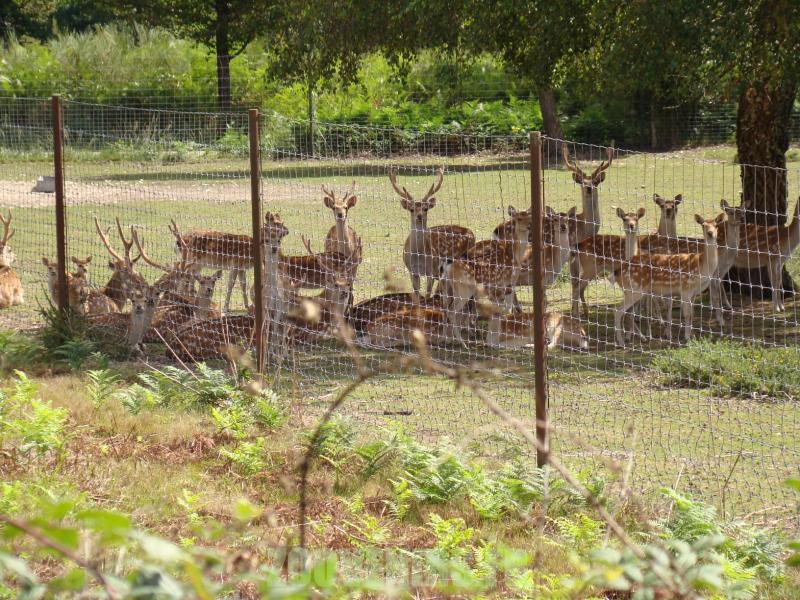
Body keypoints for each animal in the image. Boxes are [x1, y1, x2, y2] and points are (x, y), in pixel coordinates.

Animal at [390, 167, 476, 302]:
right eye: (411, 209)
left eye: (425, 208)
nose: (419, 216)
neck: (419, 255)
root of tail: (471, 232)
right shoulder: (412, 271)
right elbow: (416, 294)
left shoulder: (432, 269)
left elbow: (427, 294)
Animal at [614, 214, 720, 346]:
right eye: (703, 225)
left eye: (716, 225)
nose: (711, 233)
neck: (702, 267)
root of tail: (617, 272)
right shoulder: (685, 289)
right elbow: (687, 314)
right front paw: (687, 339)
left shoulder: (693, 293)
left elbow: (692, 314)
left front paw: (692, 336)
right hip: (634, 290)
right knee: (618, 310)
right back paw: (621, 342)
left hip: (632, 291)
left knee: (628, 312)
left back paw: (636, 338)